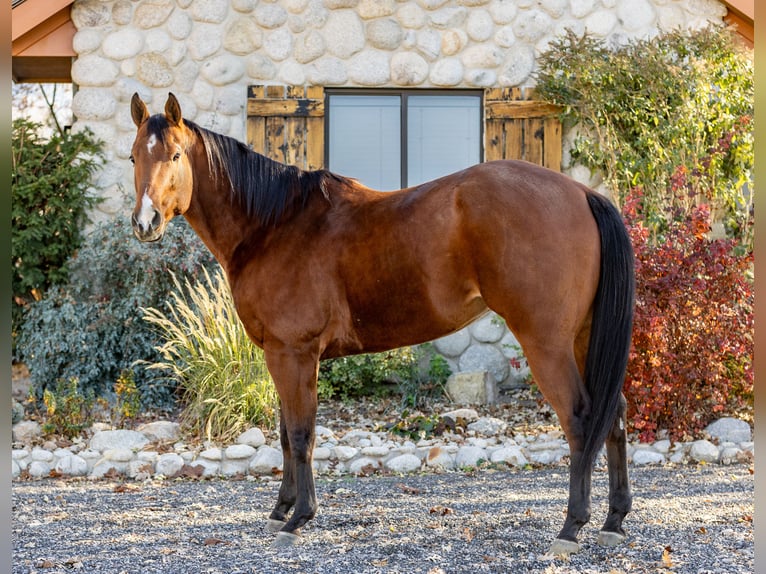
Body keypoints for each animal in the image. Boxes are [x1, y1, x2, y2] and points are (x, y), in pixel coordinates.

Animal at [129, 92, 635, 556]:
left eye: (175, 155)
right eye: (134, 155)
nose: (144, 222)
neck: (273, 224)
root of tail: (582, 193)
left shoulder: (295, 352)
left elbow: (301, 433)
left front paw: (298, 518)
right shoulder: (280, 354)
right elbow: (285, 432)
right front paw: (280, 510)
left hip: (546, 342)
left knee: (580, 419)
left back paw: (571, 528)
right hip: (582, 339)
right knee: (614, 415)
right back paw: (613, 522)